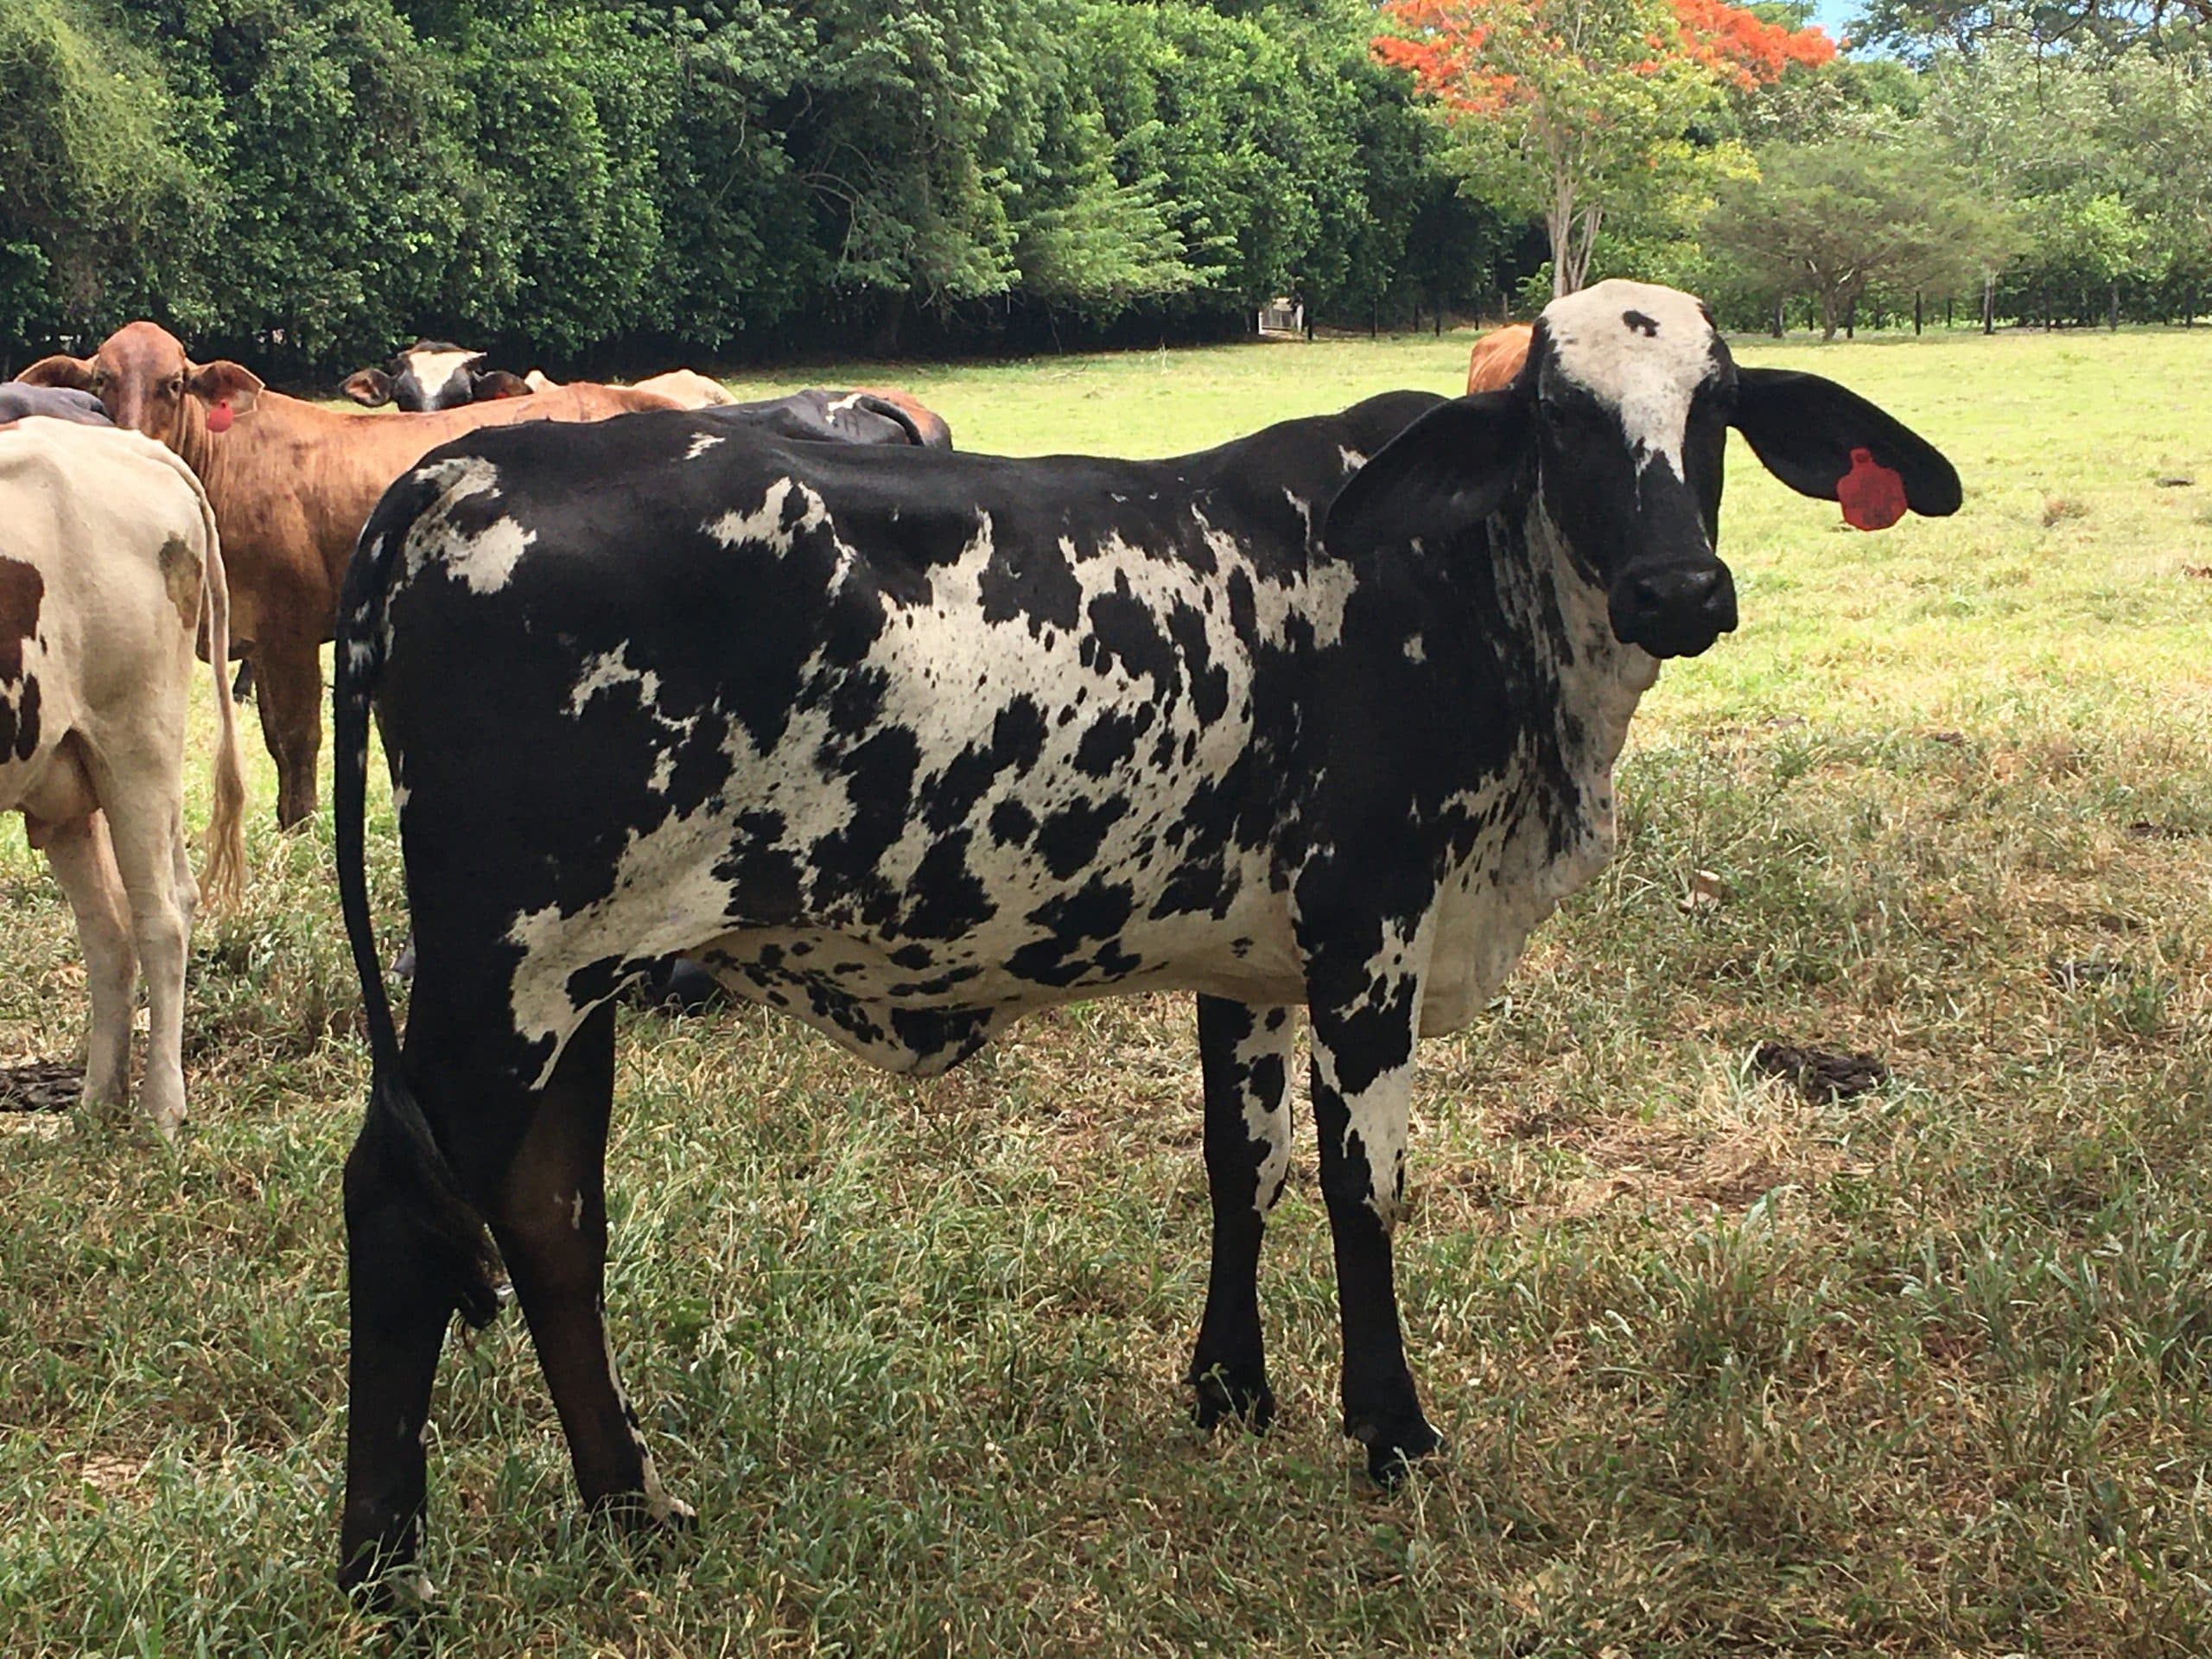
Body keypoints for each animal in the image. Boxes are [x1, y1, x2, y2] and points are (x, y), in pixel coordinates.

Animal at [1, 418, 246, 1140]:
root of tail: (134, 444)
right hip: (65, 775)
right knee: (109, 932)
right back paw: (97, 1101)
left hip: (136, 745)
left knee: (160, 917)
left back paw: (161, 1106)